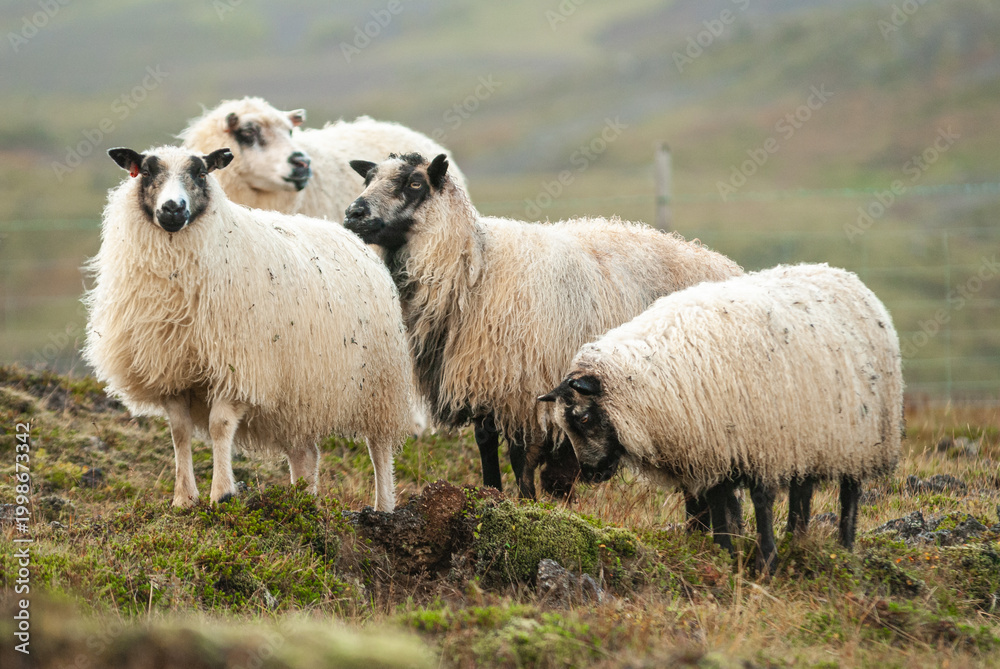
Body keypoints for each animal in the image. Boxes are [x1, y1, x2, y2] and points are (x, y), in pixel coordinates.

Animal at [84, 145, 415, 511]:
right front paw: (184, 498)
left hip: (379, 384)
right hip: (299, 393)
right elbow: (180, 431)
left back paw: (383, 507)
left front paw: (222, 494)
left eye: (201, 173)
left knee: (379, 449)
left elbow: (219, 426)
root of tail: (348, 235)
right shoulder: (171, 369)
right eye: (145, 171)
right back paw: (302, 502)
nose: (173, 208)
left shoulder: (240, 366)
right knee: (305, 453)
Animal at [342, 152, 743, 511]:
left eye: (414, 183)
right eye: (368, 178)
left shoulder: (525, 385)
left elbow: (521, 455)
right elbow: (485, 443)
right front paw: (492, 493)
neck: (476, 269)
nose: (353, 214)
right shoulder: (486, 378)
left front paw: (525, 504)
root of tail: (723, 262)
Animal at [540, 263, 904, 572]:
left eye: (584, 418)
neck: (656, 378)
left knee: (849, 493)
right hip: (808, 435)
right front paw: (724, 554)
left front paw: (765, 562)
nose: (590, 473)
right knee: (803, 490)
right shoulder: (714, 449)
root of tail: (850, 278)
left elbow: (761, 501)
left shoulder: (761, 443)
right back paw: (796, 541)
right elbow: (718, 502)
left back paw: (844, 548)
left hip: (859, 437)